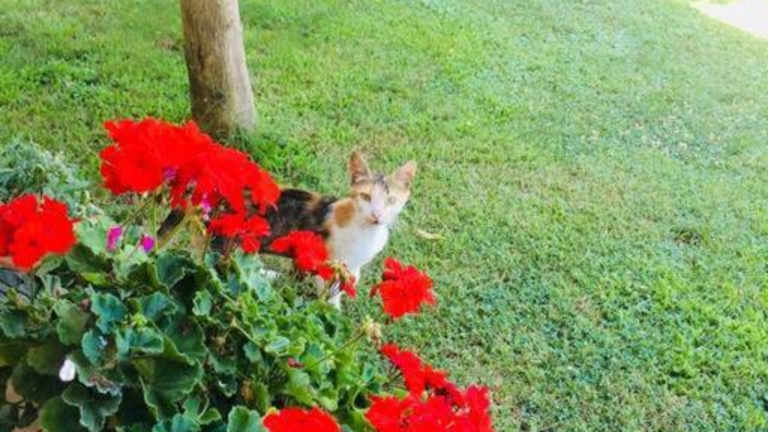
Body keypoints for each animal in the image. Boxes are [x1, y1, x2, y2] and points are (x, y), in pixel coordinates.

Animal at [262, 152, 416, 303]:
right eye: (365, 196)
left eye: (391, 200)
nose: (376, 214)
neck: (367, 232)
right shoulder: (326, 261)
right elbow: (326, 291)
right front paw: (326, 307)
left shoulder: (352, 267)